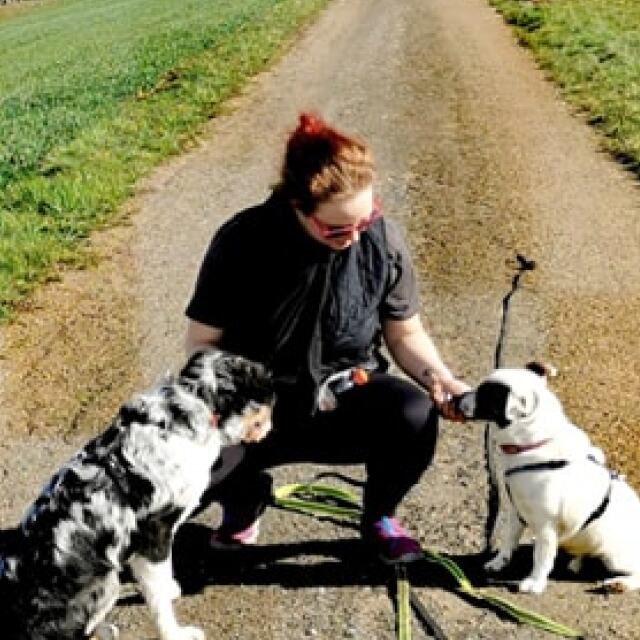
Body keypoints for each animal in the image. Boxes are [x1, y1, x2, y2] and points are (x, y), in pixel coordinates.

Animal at [0, 348, 274, 640]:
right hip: (107, 581)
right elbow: (158, 599)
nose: (270, 425)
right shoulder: (153, 535)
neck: (192, 401)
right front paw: (176, 633)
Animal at [451, 362, 640, 594]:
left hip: (616, 558)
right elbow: (508, 541)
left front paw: (535, 582)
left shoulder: (545, 526)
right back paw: (577, 561)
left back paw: (619, 583)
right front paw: (499, 562)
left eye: (485, 394)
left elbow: (541, 557)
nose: (455, 398)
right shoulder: (515, 512)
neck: (531, 447)